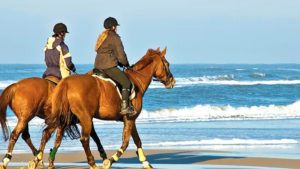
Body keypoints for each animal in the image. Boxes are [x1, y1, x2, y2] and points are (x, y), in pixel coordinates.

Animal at [34, 47, 176, 169]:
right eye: (167, 64)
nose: (172, 81)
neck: (137, 80)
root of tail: (67, 83)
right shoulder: (130, 119)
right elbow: (126, 143)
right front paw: (110, 161)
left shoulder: (131, 120)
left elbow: (138, 141)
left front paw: (146, 163)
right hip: (85, 118)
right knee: (84, 139)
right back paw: (92, 163)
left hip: (64, 117)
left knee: (48, 133)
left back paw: (37, 160)